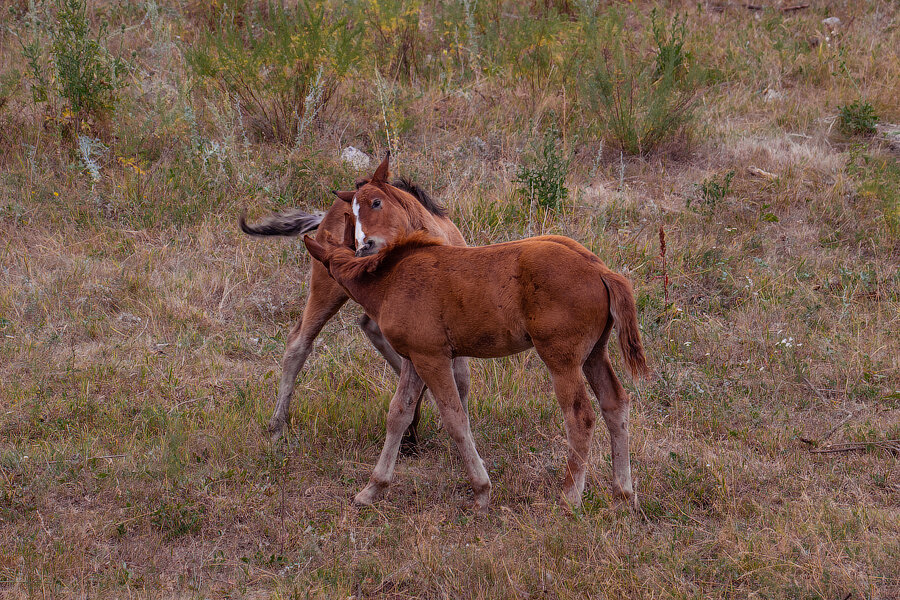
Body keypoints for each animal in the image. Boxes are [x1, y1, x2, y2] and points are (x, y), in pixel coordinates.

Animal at [239, 155, 468, 446]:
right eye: (354, 216)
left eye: (377, 202)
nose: (363, 248)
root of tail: (327, 213)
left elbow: (460, 378)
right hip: (326, 288)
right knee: (298, 343)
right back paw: (277, 426)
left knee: (369, 327)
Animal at [306, 216, 652, 510]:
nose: (316, 296)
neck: (391, 279)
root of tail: (601, 270)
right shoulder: (413, 359)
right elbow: (398, 415)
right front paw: (372, 488)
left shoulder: (432, 358)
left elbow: (455, 418)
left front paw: (481, 490)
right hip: (595, 355)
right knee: (615, 404)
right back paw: (623, 494)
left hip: (561, 359)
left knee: (580, 417)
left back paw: (569, 497)